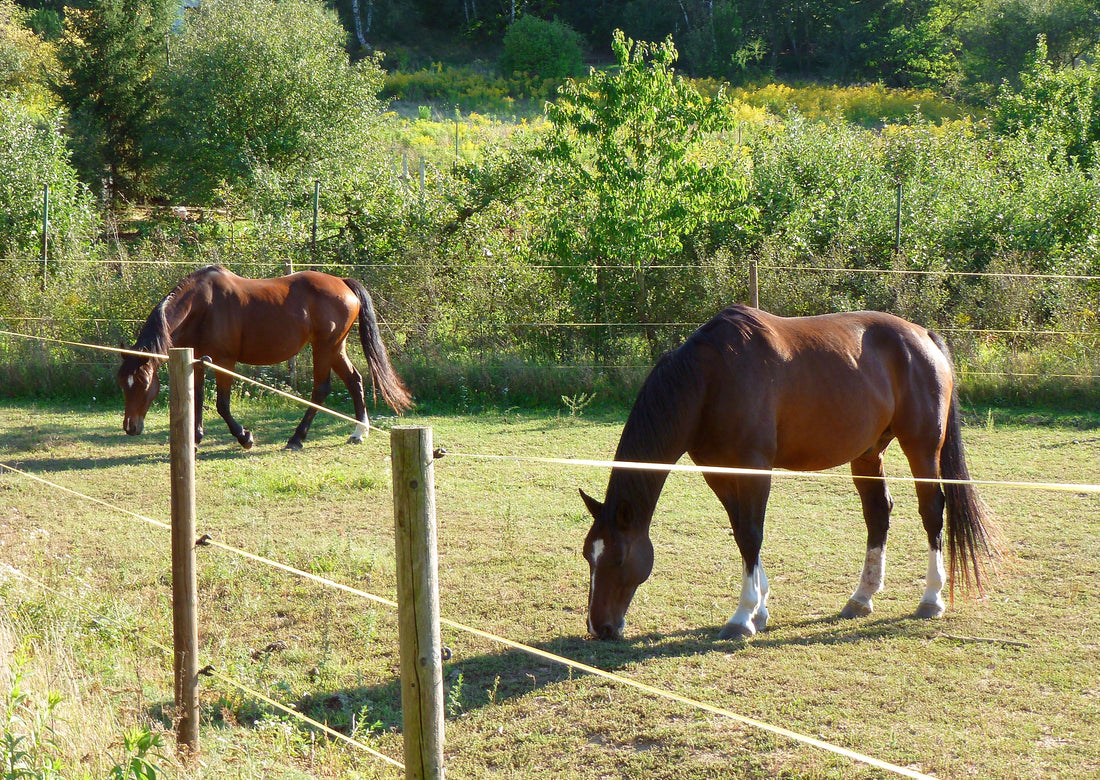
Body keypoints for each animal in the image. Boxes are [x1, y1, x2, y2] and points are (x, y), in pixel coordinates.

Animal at [117, 265, 412, 450]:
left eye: (143, 384)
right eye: (123, 383)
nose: (131, 427)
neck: (201, 305)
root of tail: (343, 283)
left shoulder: (225, 361)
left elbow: (222, 405)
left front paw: (244, 437)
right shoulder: (196, 359)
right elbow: (197, 399)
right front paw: (196, 439)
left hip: (324, 348)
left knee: (321, 389)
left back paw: (297, 438)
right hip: (335, 348)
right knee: (355, 381)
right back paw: (359, 431)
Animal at [580, 304, 1001, 641]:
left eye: (618, 559)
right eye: (588, 556)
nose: (601, 628)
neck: (712, 378)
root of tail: (923, 336)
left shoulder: (754, 468)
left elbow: (751, 534)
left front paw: (742, 617)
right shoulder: (718, 471)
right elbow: (741, 532)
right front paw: (759, 610)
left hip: (922, 448)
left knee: (932, 511)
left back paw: (931, 598)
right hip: (868, 453)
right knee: (878, 513)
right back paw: (861, 598)